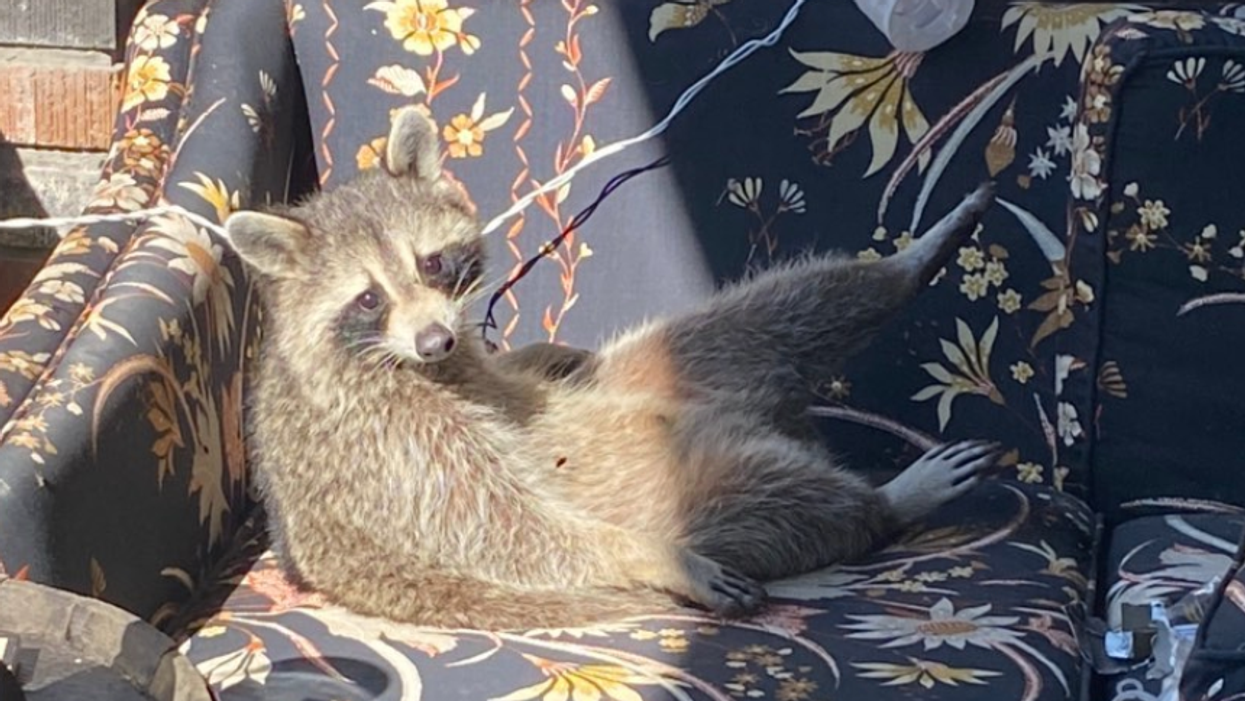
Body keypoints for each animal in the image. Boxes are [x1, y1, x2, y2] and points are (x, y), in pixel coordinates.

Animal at [223, 107, 1000, 630]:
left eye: (432, 263)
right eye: (368, 297)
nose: (436, 341)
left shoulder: (469, 369)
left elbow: (515, 375)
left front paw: (537, 352)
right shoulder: (388, 437)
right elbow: (505, 530)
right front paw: (638, 554)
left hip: (659, 379)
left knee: (738, 328)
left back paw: (902, 268)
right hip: (680, 486)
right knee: (775, 486)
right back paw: (889, 496)